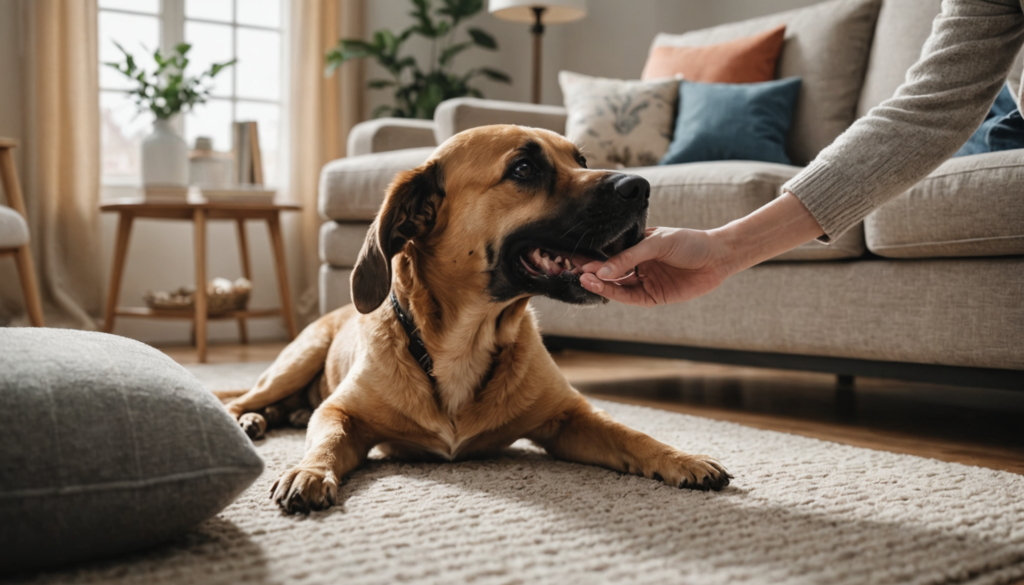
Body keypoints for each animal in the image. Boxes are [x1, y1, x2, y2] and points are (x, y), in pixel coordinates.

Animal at [229, 124, 733, 512]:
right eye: (524, 168)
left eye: (581, 159)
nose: (641, 187)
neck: (465, 339)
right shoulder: (341, 411)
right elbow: (328, 439)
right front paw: (308, 471)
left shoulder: (571, 417)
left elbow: (633, 434)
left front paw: (682, 458)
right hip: (297, 360)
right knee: (245, 398)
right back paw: (249, 421)